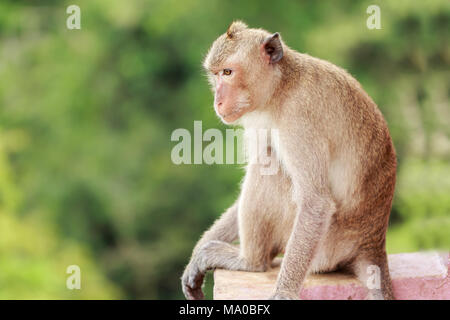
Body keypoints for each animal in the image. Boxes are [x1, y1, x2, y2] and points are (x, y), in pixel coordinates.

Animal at [181, 20, 396, 300]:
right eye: (215, 74)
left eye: (228, 72)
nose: (217, 101)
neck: (283, 85)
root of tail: (372, 243)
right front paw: (197, 252)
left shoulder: (298, 117)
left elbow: (315, 202)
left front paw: (283, 291)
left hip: (326, 249)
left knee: (268, 166)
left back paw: (250, 261)